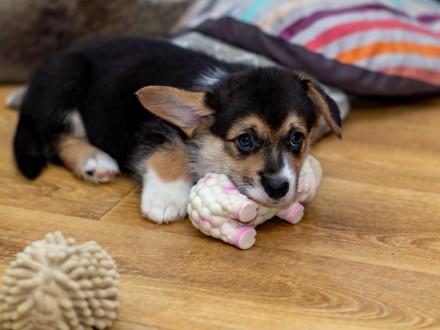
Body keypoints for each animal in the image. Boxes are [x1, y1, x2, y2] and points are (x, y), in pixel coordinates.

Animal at [12, 38, 340, 224]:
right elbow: (169, 154)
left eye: (296, 138)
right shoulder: (157, 131)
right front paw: (166, 199)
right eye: (245, 140)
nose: (279, 189)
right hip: (67, 80)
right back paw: (95, 161)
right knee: (57, 140)